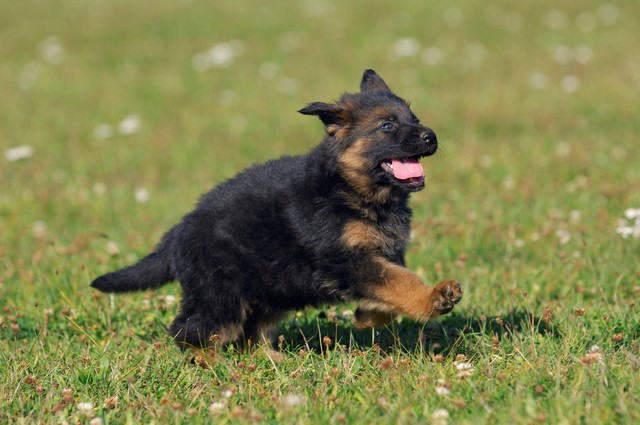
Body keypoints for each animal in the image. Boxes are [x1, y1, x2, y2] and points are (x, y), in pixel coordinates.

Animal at [91, 68, 460, 348]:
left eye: (415, 119)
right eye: (388, 126)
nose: (431, 136)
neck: (352, 189)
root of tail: (176, 234)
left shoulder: (379, 256)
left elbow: (390, 287)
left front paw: (367, 316)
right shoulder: (346, 259)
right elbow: (401, 280)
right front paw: (433, 297)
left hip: (272, 288)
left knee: (250, 333)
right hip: (220, 293)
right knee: (193, 330)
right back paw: (213, 367)